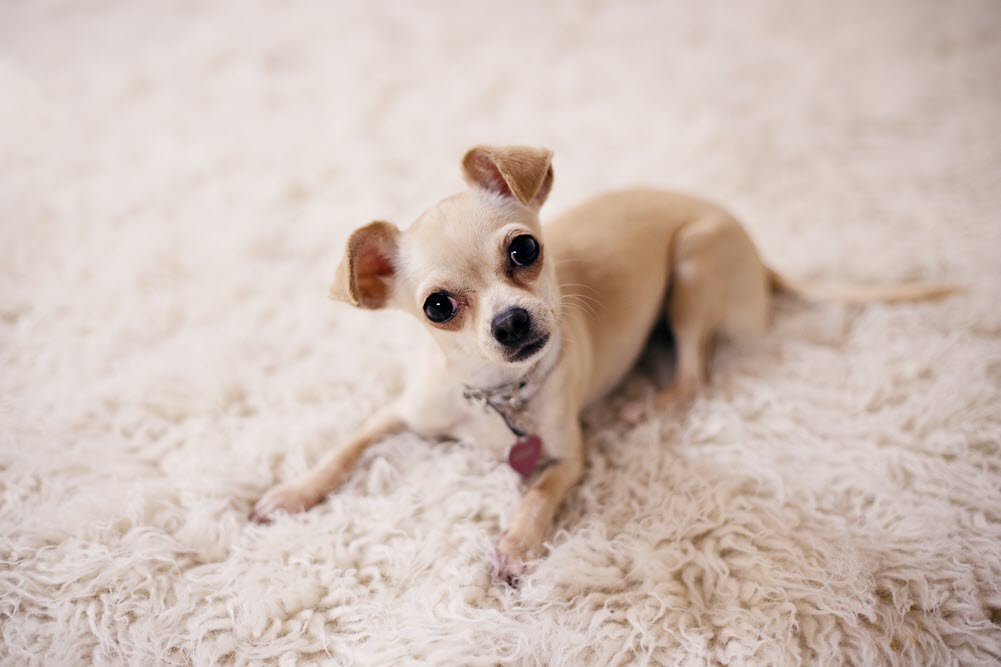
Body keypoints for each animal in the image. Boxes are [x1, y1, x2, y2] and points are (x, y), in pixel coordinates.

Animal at [250, 144, 952, 576]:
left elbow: (538, 495)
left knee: (694, 375)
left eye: (525, 249)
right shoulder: (399, 413)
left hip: (693, 268)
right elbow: (343, 448)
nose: (511, 321)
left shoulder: (568, 459)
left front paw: (515, 545)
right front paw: (291, 493)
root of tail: (759, 259)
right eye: (438, 307)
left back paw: (650, 404)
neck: (497, 395)